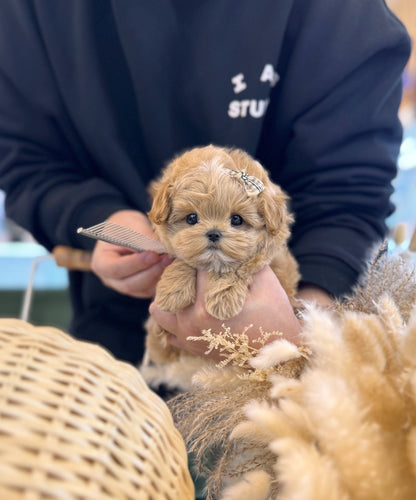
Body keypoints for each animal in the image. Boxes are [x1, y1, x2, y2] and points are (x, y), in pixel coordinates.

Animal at [143, 145, 300, 368]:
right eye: (192, 218)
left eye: (237, 219)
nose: (214, 233)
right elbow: (184, 259)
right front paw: (171, 292)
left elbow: (236, 267)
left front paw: (222, 300)